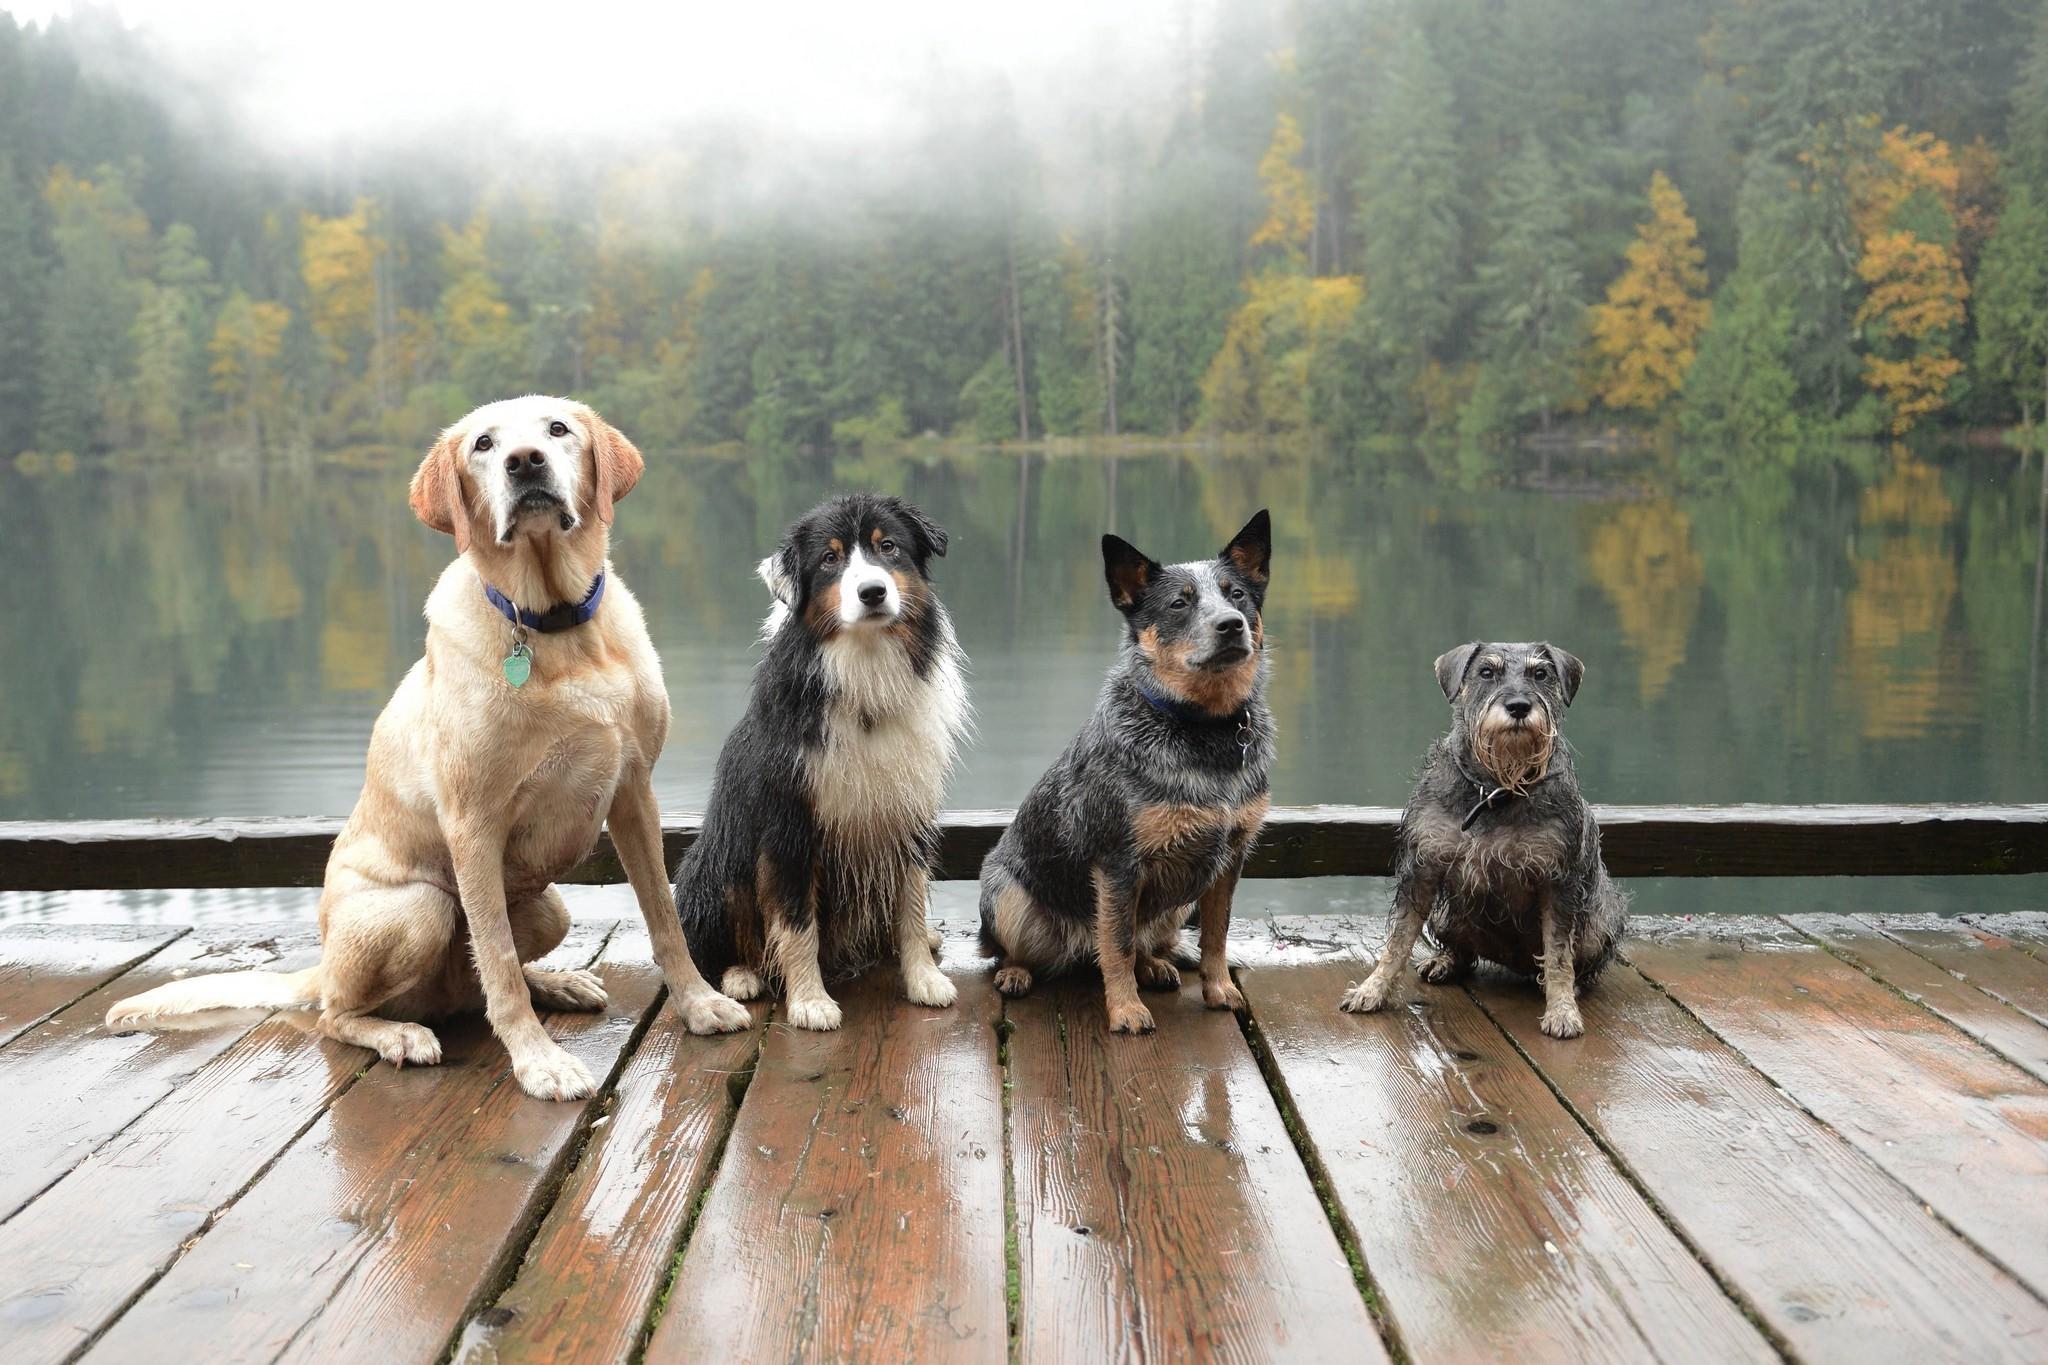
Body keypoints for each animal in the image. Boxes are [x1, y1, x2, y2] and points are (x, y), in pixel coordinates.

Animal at [1343, 642, 1630, 1035]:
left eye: (1541, 674)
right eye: (1486, 672)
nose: (1519, 706)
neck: (1495, 789)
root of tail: (1512, 962)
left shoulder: (1558, 883)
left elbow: (1558, 955)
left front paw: (1562, 1011)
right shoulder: (1423, 869)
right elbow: (1399, 938)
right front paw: (1372, 989)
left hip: (1599, 922)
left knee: (1573, 962)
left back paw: (1573, 986)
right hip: (1445, 914)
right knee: (1463, 951)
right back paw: (1444, 961)